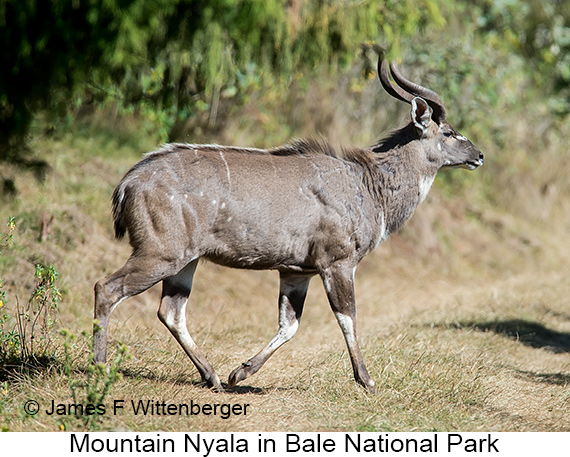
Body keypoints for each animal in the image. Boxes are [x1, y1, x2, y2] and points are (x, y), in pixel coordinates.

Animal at [93, 54, 480, 392]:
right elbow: (348, 317)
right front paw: (367, 381)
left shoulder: (297, 271)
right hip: (160, 254)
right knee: (106, 288)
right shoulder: (337, 263)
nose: (478, 155)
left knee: (171, 311)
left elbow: (290, 325)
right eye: (448, 132)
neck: (369, 185)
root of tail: (128, 183)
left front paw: (239, 373)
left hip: (187, 261)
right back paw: (100, 368)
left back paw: (213, 377)